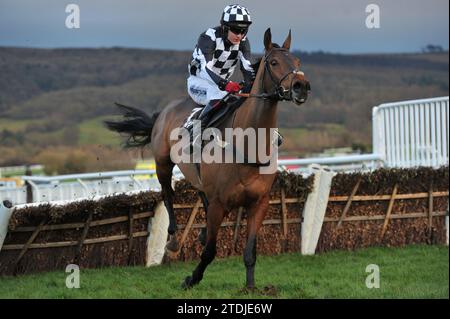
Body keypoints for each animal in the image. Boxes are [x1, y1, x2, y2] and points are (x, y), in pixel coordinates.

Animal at [105, 28, 310, 292]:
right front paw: (191, 279)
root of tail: (163, 112)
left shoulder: (259, 203)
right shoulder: (219, 203)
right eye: (274, 62)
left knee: (199, 190)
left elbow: (250, 251)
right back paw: (173, 239)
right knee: (168, 195)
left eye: (298, 62)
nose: (301, 86)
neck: (248, 144)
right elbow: (210, 252)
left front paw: (250, 287)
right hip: (162, 163)